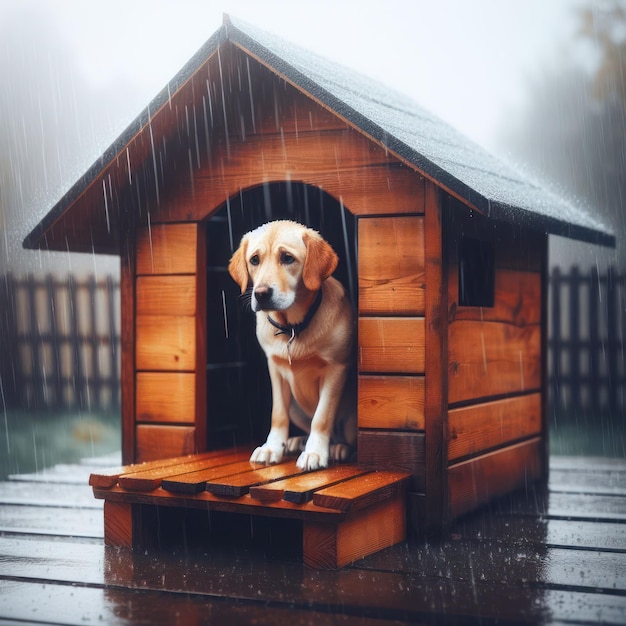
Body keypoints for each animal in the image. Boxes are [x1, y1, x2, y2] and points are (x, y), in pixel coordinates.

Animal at [228, 219, 356, 468]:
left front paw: (315, 452)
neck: (293, 328)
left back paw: (339, 447)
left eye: (287, 258)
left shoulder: (336, 368)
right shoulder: (275, 369)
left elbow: (322, 417)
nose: (261, 294)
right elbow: (278, 414)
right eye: (254, 260)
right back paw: (297, 441)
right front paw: (272, 448)